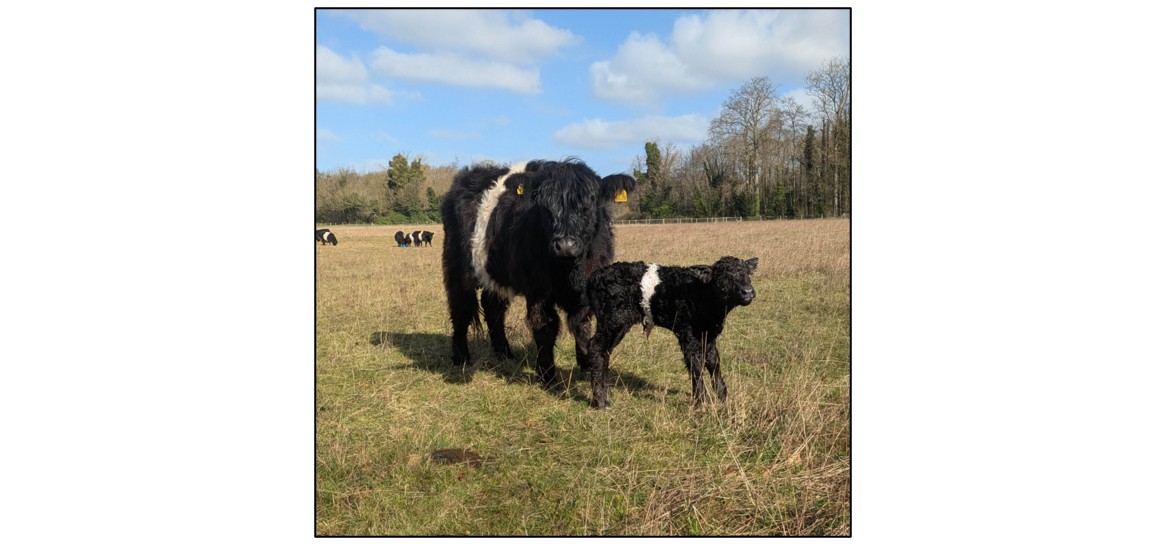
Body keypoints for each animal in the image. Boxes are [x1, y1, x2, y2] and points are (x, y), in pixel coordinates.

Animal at [440, 159, 636, 389]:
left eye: (589, 203)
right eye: (543, 206)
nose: (566, 245)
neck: (569, 272)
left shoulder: (586, 288)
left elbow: (582, 323)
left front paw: (586, 364)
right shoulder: (538, 290)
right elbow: (545, 326)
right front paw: (548, 376)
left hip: (496, 273)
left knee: (492, 306)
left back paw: (504, 353)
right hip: (457, 266)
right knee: (461, 308)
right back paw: (461, 358)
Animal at [585, 256, 758, 409]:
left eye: (747, 274)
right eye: (724, 276)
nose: (747, 291)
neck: (703, 294)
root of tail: (595, 275)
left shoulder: (708, 335)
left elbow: (713, 362)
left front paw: (722, 399)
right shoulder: (688, 335)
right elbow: (696, 365)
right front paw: (699, 403)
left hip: (616, 326)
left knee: (605, 352)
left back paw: (607, 393)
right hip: (613, 320)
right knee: (595, 347)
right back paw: (600, 401)